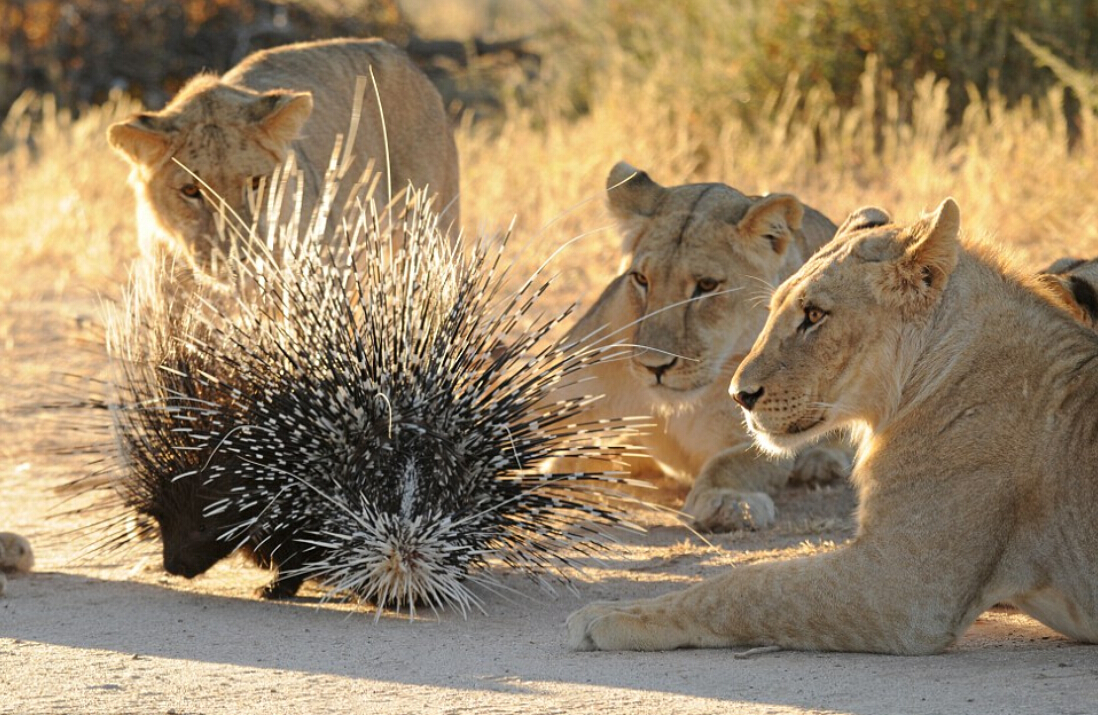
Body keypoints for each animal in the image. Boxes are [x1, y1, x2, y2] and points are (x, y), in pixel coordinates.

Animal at [562, 162, 852, 531]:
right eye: (641, 279)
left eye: (707, 285)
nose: (654, 367)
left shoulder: (762, 425)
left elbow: (732, 463)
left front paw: (727, 503)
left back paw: (821, 461)